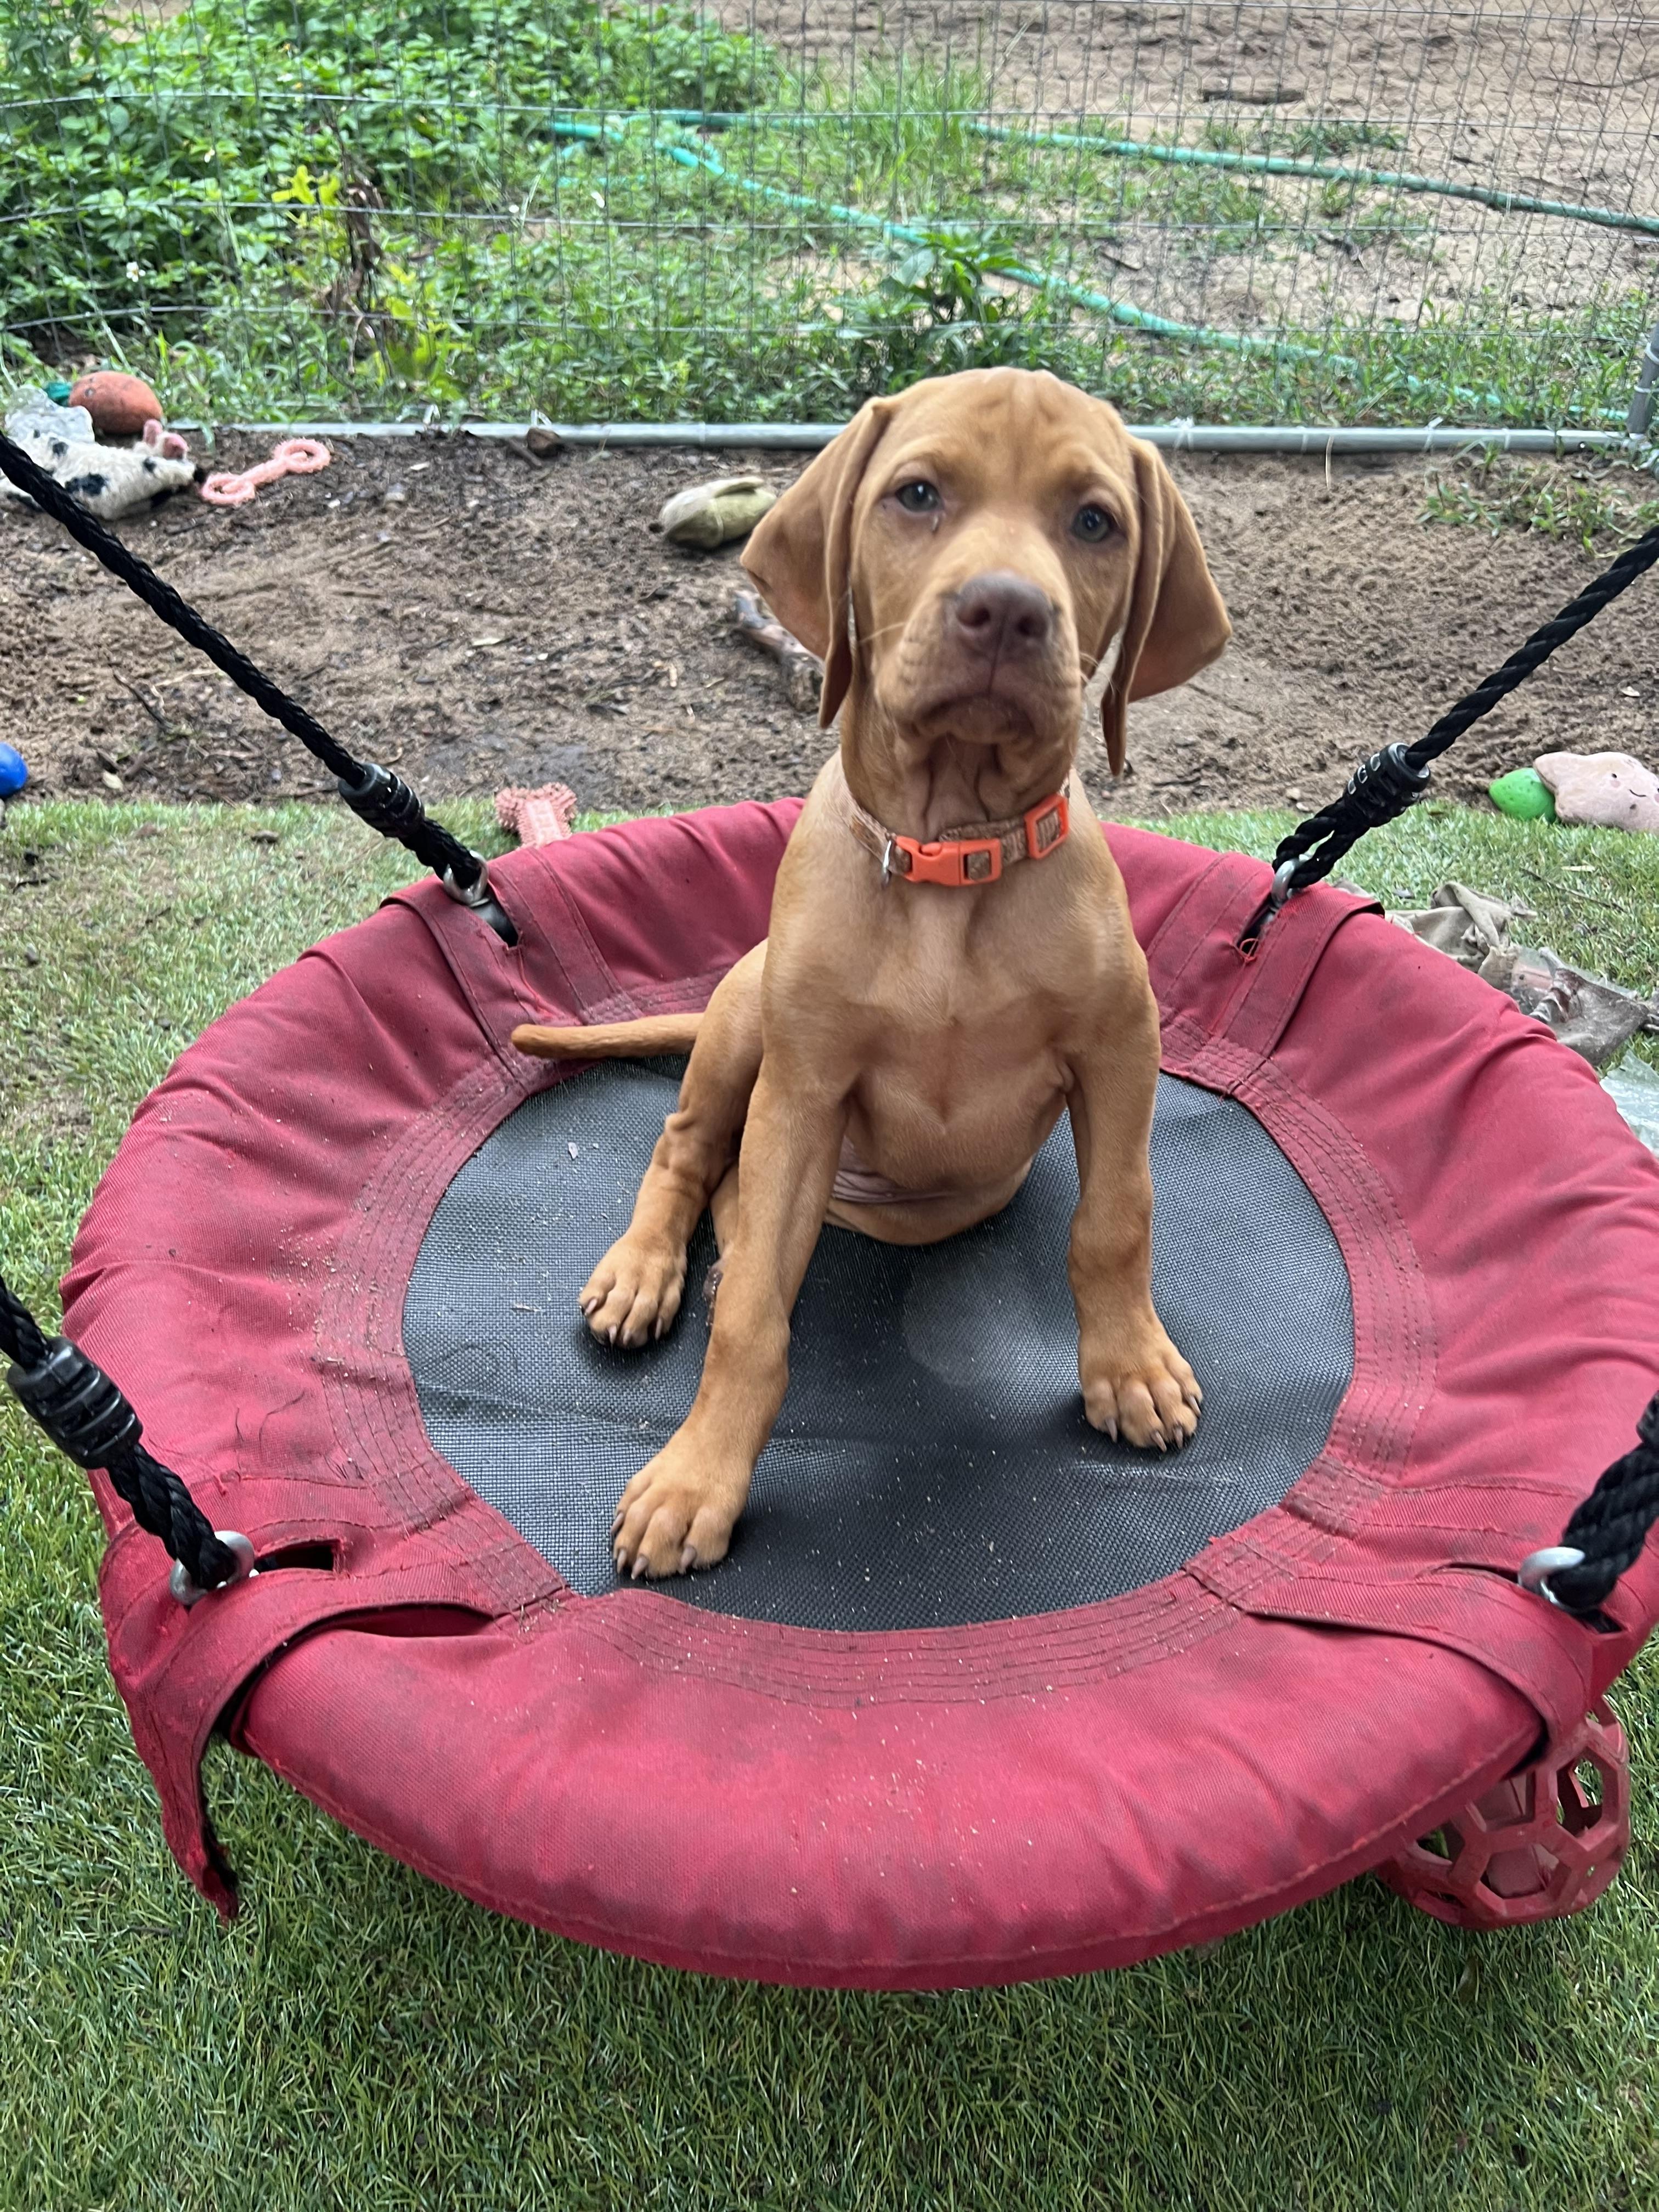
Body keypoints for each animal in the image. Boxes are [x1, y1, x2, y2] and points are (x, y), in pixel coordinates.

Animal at [514, 367, 1231, 1580]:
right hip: (744, 1024)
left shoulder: (1120, 1048)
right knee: (689, 1151)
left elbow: (1116, 1216)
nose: (1007, 610)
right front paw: (697, 1479)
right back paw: (648, 1269)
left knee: (735, 1193)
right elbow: (753, 1324)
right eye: (917, 494)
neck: (948, 863)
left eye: (1095, 521)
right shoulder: (804, 1092)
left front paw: (1128, 1366)